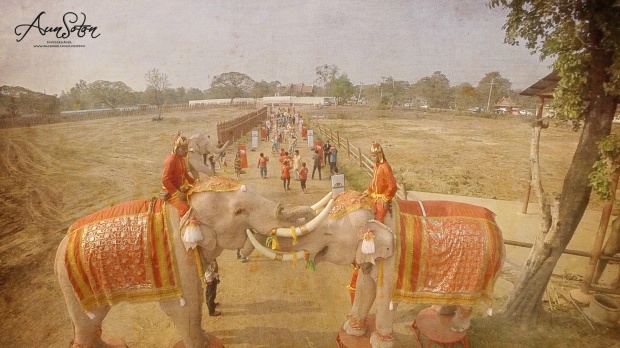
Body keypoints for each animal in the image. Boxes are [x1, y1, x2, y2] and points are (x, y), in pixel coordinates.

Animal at [54, 177, 330, 348]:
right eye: (239, 212)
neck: (188, 206)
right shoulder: (177, 254)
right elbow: (183, 306)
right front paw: (205, 343)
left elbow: (196, 295)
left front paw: (208, 338)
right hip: (71, 281)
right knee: (87, 320)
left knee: (92, 320)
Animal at [246, 190, 504, 348]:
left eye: (328, 234)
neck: (379, 215)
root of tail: (495, 220)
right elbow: (364, 286)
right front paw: (352, 330)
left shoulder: (392, 260)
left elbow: (384, 297)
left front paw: (379, 342)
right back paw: (439, 311)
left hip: (483, 268)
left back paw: (456, 325)